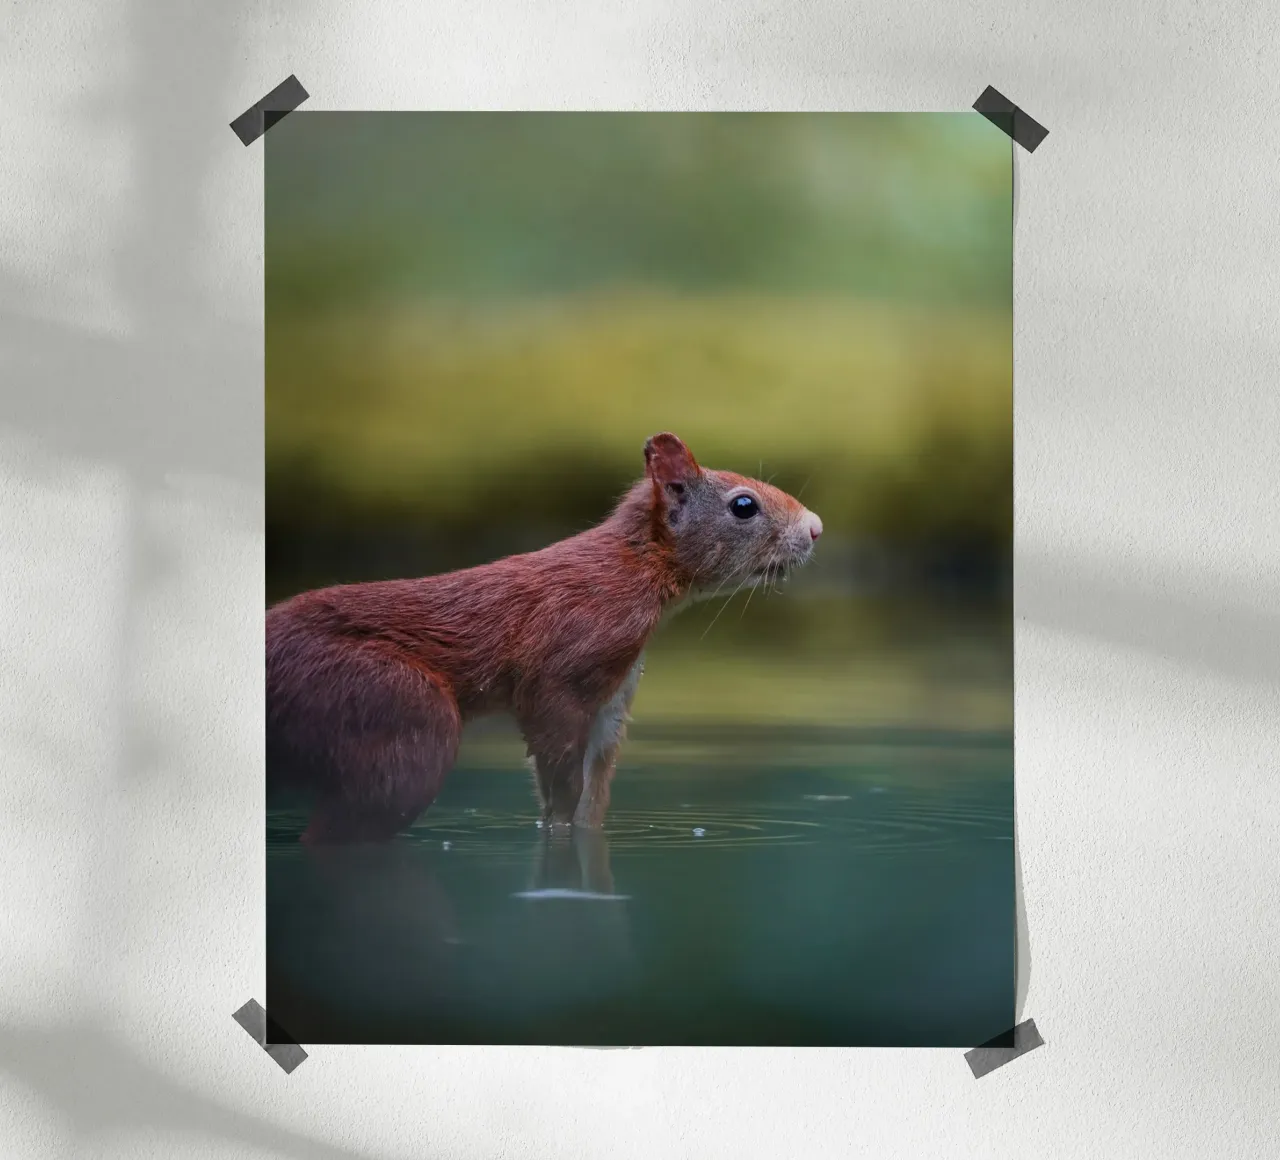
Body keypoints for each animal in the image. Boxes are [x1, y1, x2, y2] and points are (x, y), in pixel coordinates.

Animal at [266, 432, 823, 844]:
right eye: (744, 505)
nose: (816, 528)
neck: (634, 569)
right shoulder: (564, 664)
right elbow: (558, 766)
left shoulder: (613, 697)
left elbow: (592, 793)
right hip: (390, 707)